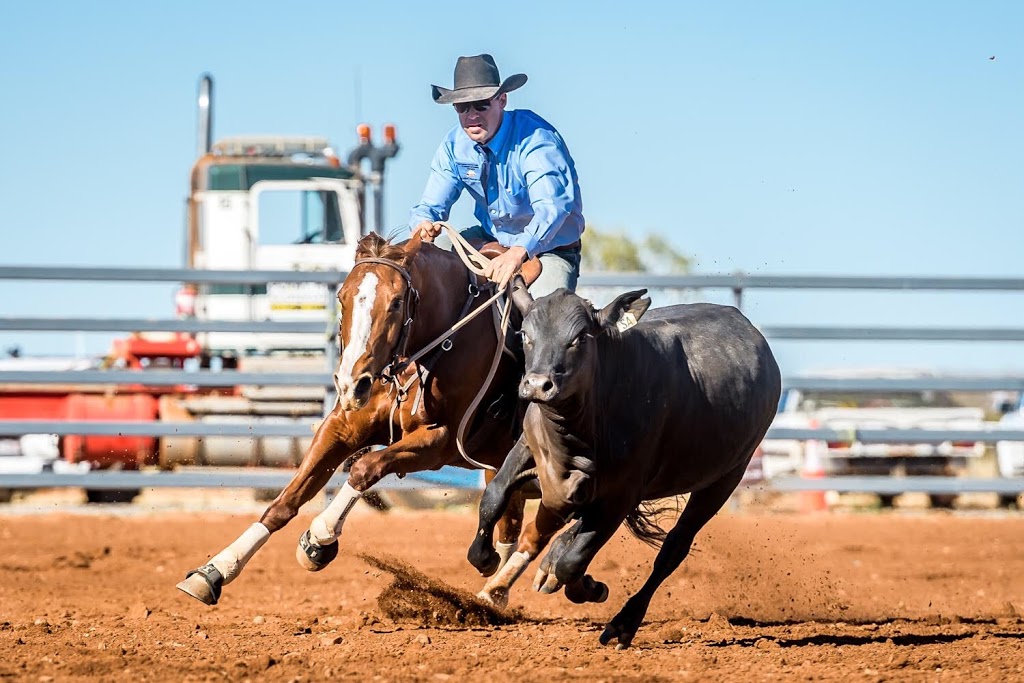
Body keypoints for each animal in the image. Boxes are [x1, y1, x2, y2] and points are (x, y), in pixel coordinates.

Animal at [176, 233, 528, 602]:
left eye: (397, 303)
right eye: (341, 297)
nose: (350, 382)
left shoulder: (439, 442)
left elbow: (364, 468)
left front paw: (319, 537)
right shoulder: (342, 427)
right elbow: (287, 500)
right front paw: (215, 570)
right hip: (500, 469)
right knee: (509, 522)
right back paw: (492, 583)